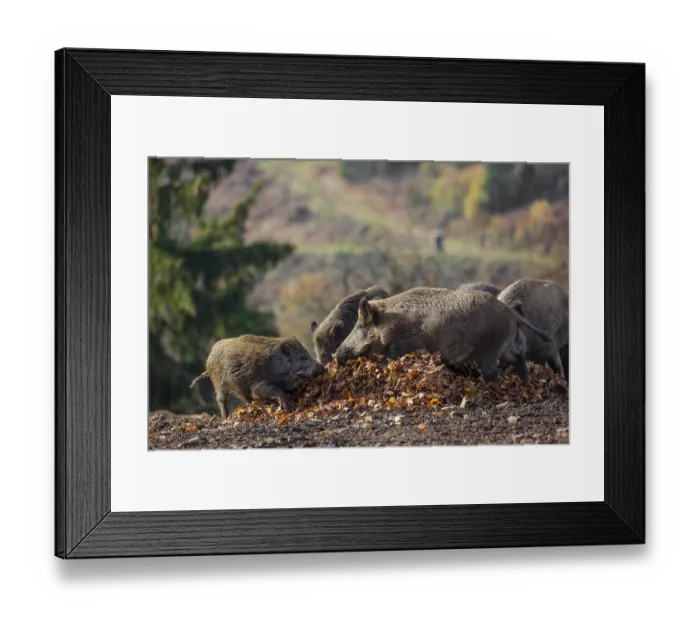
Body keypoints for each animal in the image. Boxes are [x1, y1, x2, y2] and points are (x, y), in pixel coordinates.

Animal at [189, 335, 326, 418]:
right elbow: (275, 390)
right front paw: (288, 409)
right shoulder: (257, 384)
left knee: (244, 398)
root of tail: (209, 359)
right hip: (218, 383)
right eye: (302, 357)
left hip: (239, 387)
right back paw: (226, 417)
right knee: (221, 400)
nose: (324, 367)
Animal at [334, 287, 552, 382]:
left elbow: (387, 361)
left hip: (489, 348)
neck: (390, 324)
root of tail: (510, 312)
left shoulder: (399, 348)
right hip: (504, 346)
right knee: (518, 358)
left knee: (494, 372)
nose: (336, 354)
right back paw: (525, 382)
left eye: (361, 326)